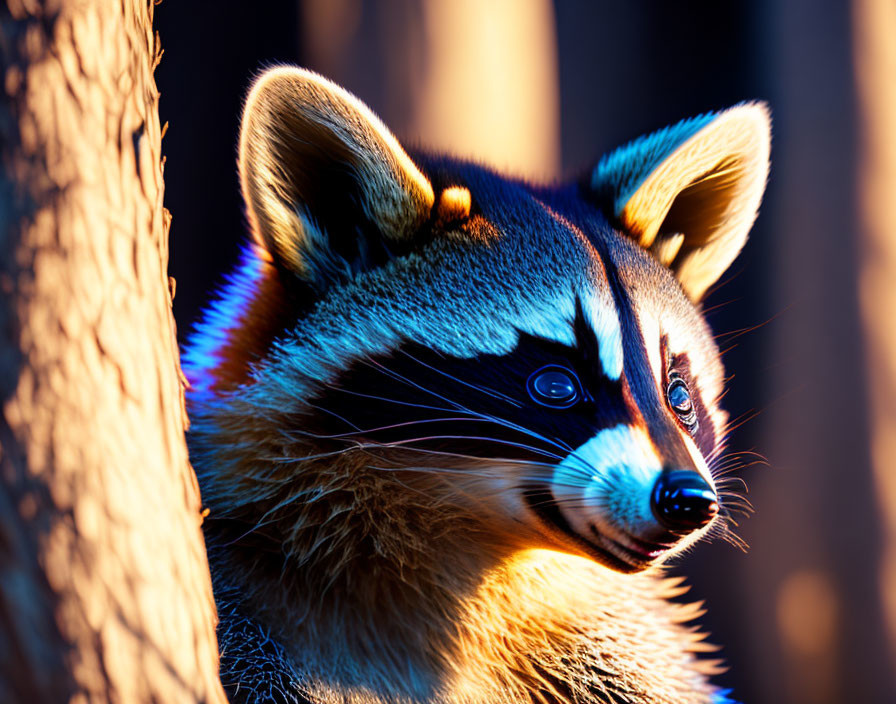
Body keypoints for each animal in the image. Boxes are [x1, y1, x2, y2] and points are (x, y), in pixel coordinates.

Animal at [184, 66, 768, 704]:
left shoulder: (612, 644)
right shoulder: (240, 603)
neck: (476, 562)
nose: (688, 499)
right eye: (556, 385)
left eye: (678, 394)